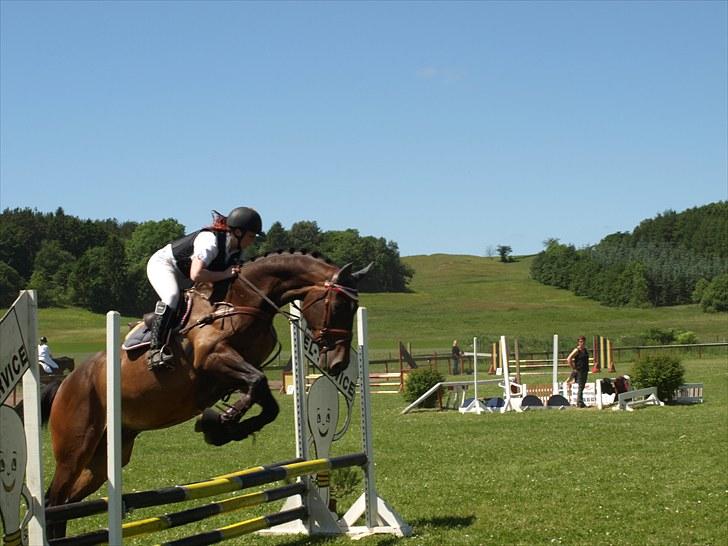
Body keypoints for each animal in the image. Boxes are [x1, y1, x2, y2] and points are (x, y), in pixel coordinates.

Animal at [42, 250, 366, 536]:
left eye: (353, 309)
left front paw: (221, 427)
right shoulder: (214, 358)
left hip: (105, 457)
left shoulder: (234, 372)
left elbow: (265, 400)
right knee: (53, 500)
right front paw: (223, 422)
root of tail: (66, 383)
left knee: (68, 501)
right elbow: (258, 382)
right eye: (338, 306)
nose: (337, 363)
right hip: (76, 448)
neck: (239, 301)